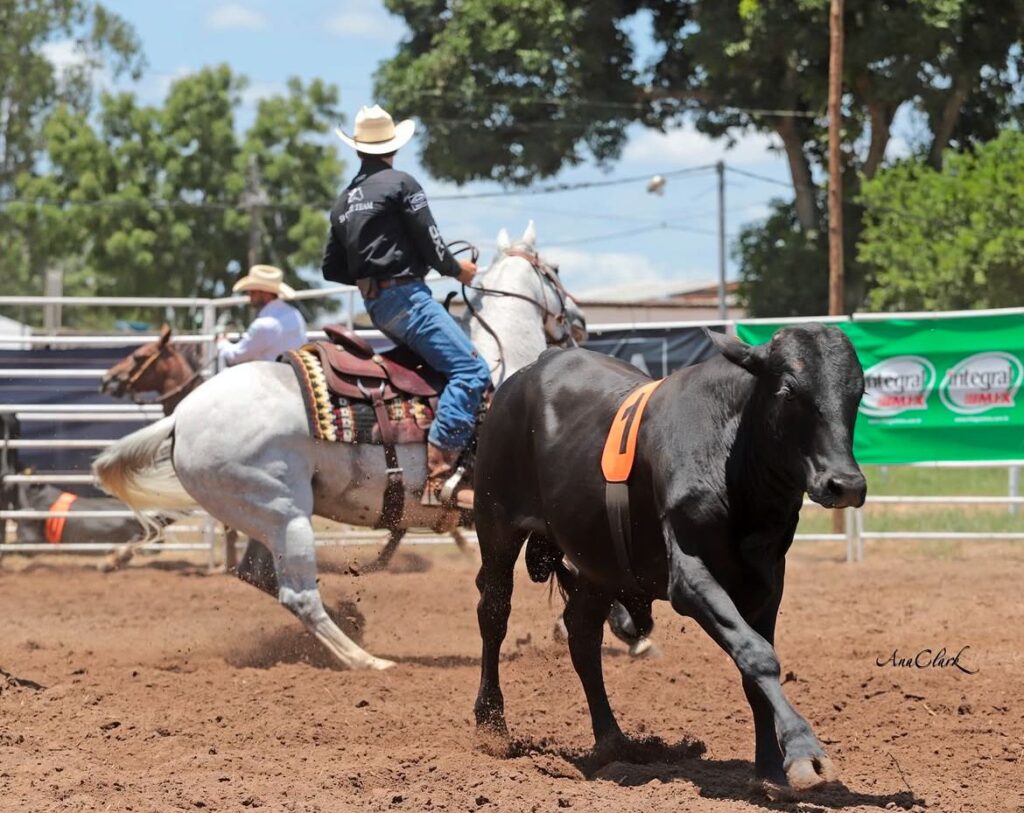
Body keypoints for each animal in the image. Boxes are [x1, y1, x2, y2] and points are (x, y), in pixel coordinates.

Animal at [471, 323, 864, 790]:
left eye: (857, 391)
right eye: (788, 390)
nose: (845, 484)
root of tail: (530, 371)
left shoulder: (768, 582)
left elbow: (755, 669)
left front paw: (770, 770)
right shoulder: (689, 577)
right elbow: (756, 654)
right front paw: (804, 752)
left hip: (599, 564)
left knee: (582, 633)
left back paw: (613, 741)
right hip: (496, 524)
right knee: (494, 613)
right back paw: (491, 726)